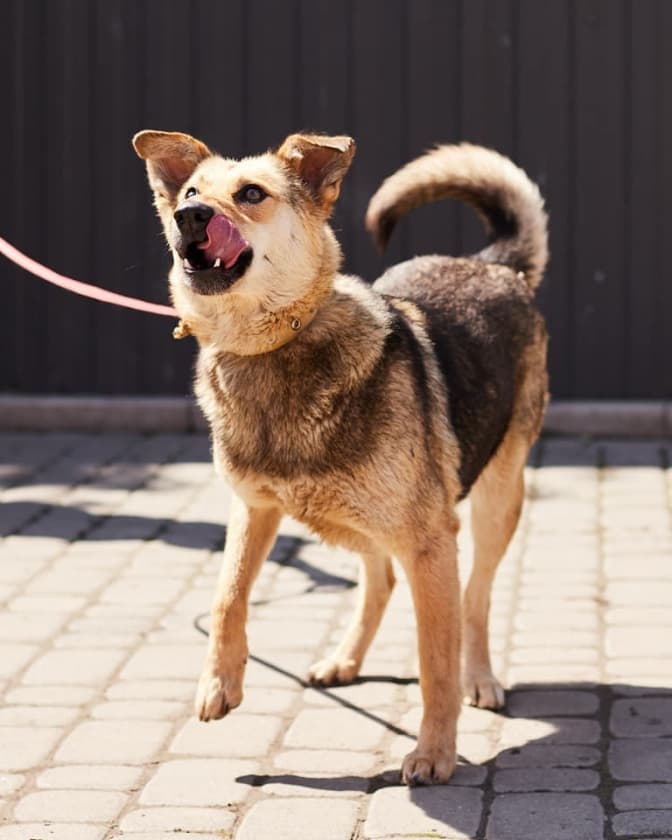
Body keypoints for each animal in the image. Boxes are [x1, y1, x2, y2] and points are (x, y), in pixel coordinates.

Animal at [133, 129, 549, 785]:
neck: (272, 347)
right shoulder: (253, 510)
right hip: (351, 518)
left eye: (251, 195)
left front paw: (435, 752)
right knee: (380, 578)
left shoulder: (431, 542)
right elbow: (227, 596)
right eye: (193, 192)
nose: (188, 218)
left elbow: (436, 659)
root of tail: (491, 264)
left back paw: (480, 677)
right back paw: (345, 659)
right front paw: (218, 683)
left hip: (494, 501)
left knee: (475, 598)